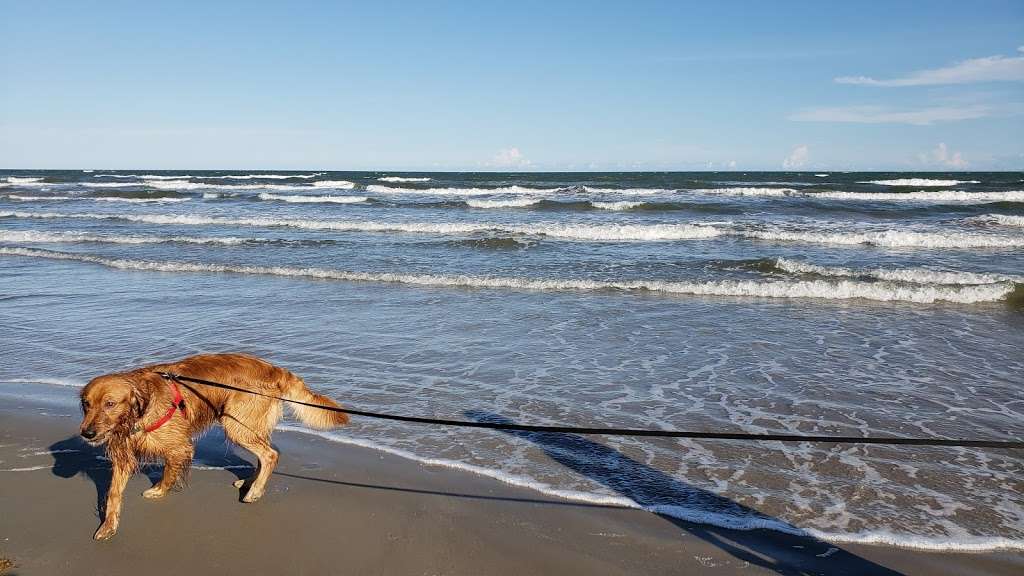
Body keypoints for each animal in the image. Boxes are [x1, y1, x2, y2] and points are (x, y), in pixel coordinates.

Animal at [76, 350, 348, 537]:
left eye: (110, 403)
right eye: (87, 404)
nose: (87, 433)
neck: (141, 411)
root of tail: (276, 369)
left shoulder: (179, 447)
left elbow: (168, 473)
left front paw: (159, 490)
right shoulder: (123, 455)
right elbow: (113, 493)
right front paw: (108, 526)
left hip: (236, 424)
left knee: (270, 455)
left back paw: (255, 491)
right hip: (244, 425)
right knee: (265, 453)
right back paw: (249, 482)